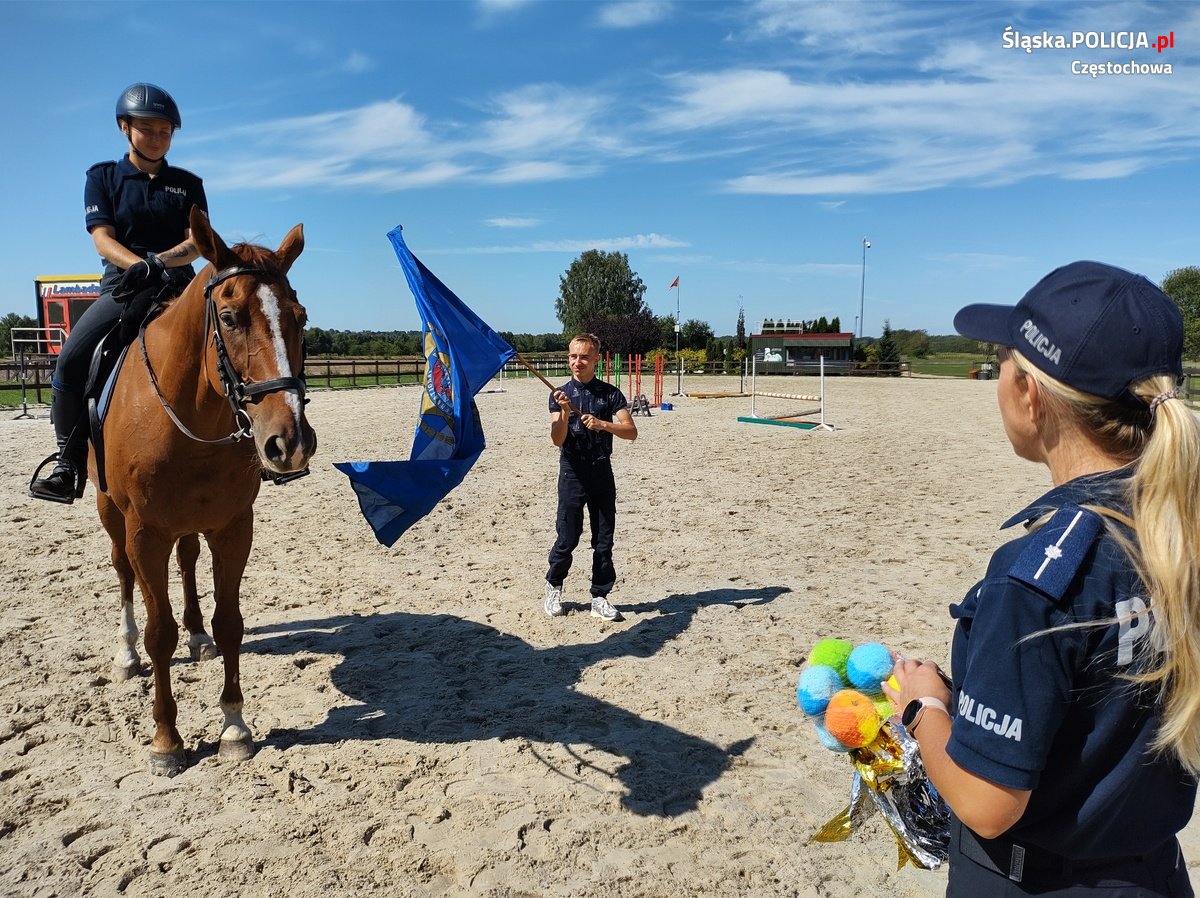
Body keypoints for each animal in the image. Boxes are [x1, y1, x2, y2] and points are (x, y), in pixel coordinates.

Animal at [95, 206, 316, 773]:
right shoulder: (144, 533)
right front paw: (166, 740)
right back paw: (125, 654)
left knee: (189, 561)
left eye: (300, 317)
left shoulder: (233, 527)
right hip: (111, 513)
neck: (186, 415)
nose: (290, 442)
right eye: (231, 318)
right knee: (123, 574)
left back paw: (198, 638)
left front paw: (235, 726)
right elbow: (159, 632)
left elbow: (230, 622)